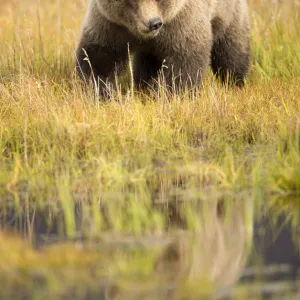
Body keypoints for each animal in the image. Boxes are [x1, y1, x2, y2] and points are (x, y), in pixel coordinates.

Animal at [75, 0, 251, 94]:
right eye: (131, 1)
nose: (154, 23)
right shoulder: (110, 25)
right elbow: (99, 57)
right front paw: (101, 90)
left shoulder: (181, 21)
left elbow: (185, 60)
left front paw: (171, 93)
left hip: (228, 13)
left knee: (231, 52)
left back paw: (235, 83)